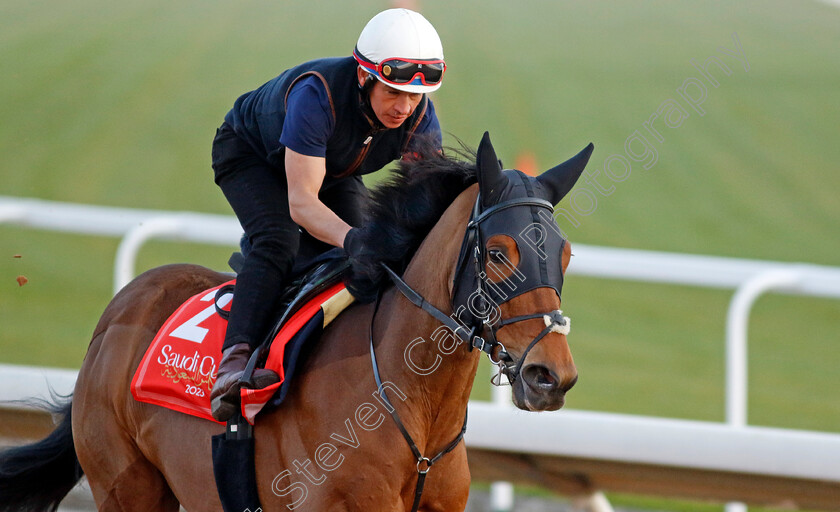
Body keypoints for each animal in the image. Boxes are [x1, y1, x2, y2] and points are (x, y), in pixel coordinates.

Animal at [0, 133, 592, 512]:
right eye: (497, 253)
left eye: (566, 254)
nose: (551, 377)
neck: (415, 412)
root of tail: (114, 316)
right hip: (127, 487)